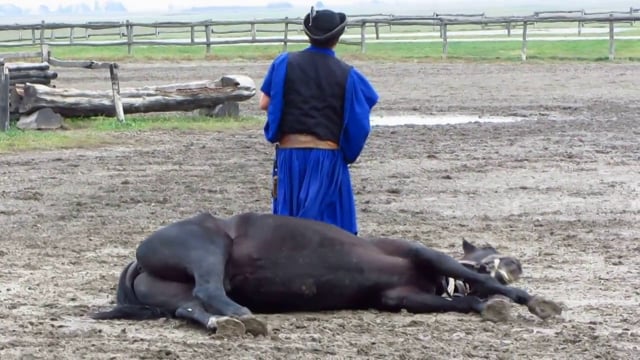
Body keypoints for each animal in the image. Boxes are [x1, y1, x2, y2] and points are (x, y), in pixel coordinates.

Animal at [90, 212, 560, 336]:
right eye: (496, 251)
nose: (516, 263)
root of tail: (138, 258)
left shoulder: (399, 298)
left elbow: (460, 302)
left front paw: (488, 307)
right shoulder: (422, 255)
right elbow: (480, 284)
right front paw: (536, 302)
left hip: (176, 294)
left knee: (193, 307)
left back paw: (228, 324)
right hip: (207, 247)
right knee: (210, 289)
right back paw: (242, 316)